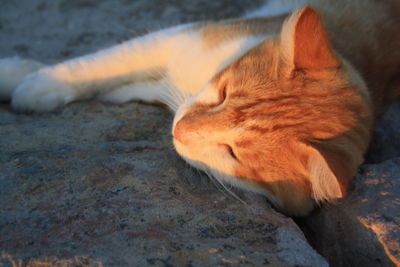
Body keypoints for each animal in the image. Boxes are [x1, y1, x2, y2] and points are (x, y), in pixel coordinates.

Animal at [0, 0, 400, 217]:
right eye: (222, 94)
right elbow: (104, 64)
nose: (178, 130)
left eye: (232, 153)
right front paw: (34, 81)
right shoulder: (180, 39)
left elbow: (126, 82)